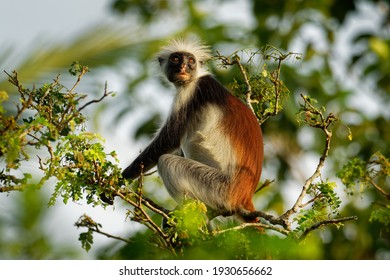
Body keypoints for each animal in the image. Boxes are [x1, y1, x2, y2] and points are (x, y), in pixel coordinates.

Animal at [120, 38, 264, 222]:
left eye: (190, 61)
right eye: (176, 59)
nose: (183, 67)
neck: (195, 78)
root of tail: (244, 196)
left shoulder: (191, 91)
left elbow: (170, 139)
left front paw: (120, 178)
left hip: (218, 187)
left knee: (167, 161)